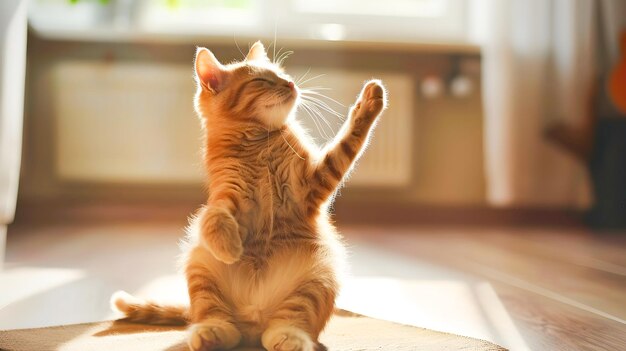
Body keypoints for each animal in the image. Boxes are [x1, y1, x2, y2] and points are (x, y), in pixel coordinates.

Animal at [112, 42, 386, 351]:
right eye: (262, 80)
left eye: (282, 73)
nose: (291, 83)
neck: (260, 143)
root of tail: (254, 316)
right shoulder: (227, 193)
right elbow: (213, 216)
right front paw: (229, 249)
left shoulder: (313, 182)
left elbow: (349, 141)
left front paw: (369, 102)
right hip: (199, 263)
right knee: (218, 319)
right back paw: (210, 333)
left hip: (320, 274)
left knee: (289, 321)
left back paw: (289, 338)